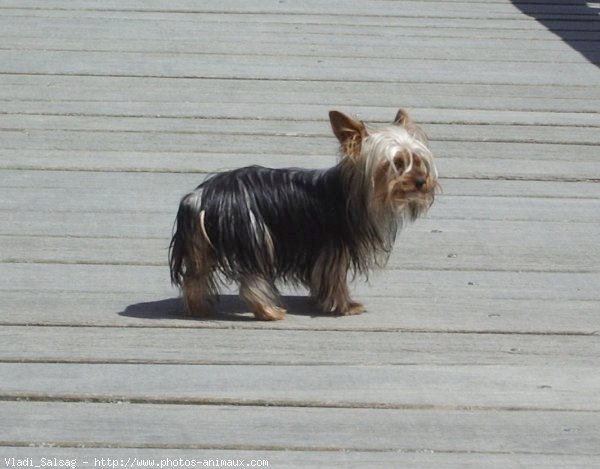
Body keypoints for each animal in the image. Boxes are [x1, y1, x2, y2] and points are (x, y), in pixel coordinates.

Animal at [169, 108, 436, 320]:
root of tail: (201, 195)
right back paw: (270, 312)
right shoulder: (333, 249)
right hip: (254, 236)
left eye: (418, 160)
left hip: (204, 244)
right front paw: (346, 306)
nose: (422, 181)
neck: (349, 193)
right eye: (397, 163)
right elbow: (335, 279)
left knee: (194, 276)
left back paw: (198, 309)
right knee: (252, 283)